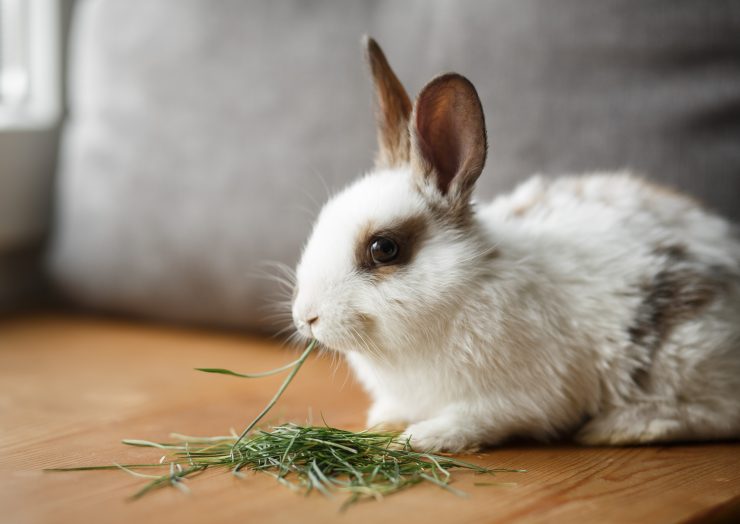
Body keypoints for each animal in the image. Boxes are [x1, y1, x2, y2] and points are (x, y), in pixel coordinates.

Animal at [290, 36, 740, 452]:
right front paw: (384, 422)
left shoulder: (515, 399)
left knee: (716, 414)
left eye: (383, 249)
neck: (462, 288)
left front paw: (422, 438)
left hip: (683, 353)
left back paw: (620, 428)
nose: (305, 317)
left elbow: (474, 419)